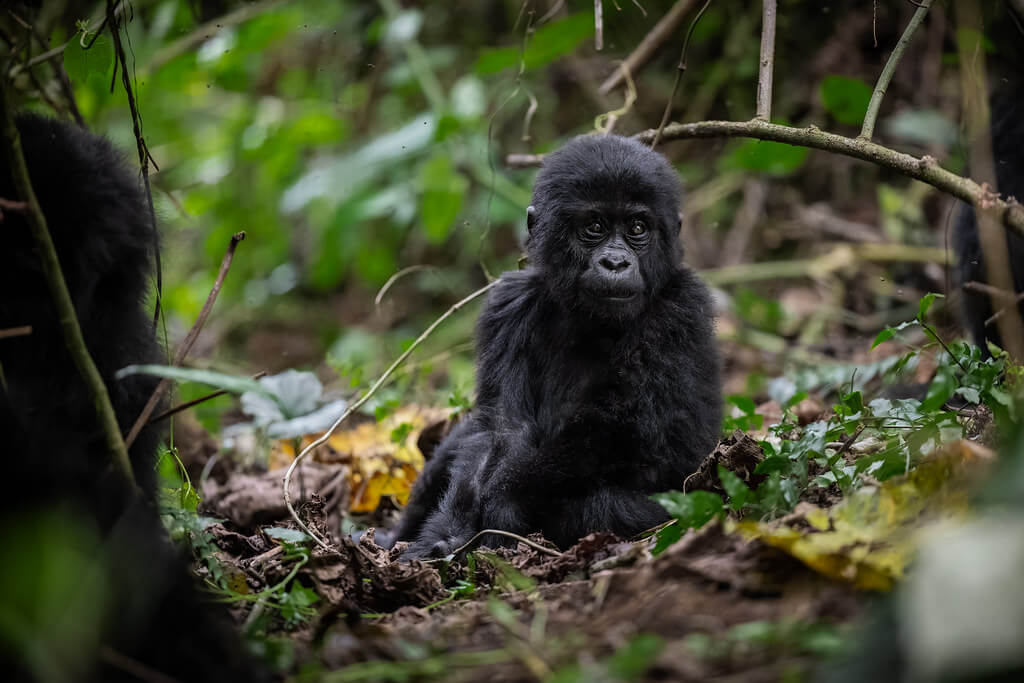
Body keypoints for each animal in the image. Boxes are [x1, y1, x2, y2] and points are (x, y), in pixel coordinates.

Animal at [384, 134, 722, 559]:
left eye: (637, 227)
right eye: (594, 226)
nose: (615, 262)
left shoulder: (681, 309)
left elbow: (629, 425)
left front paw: (504, 499)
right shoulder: (508, 304)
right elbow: (500, 427)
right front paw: (447, 532)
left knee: (601, 508)